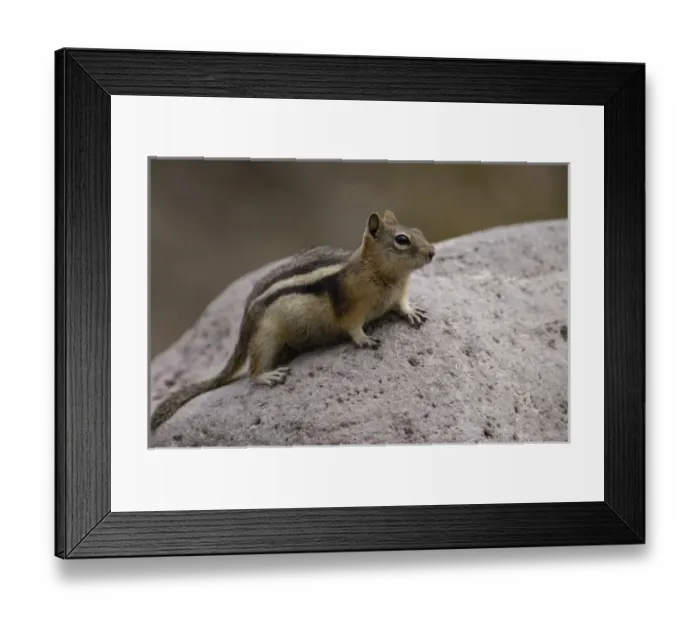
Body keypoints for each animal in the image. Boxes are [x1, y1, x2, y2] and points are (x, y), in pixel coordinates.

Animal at [149, 210, 436, 432]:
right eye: (402, 240)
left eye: (419, 230)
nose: (432, 252)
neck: (384, 275)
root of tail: (246, 319)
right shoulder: (351, 308)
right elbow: (352, 326)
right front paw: (364, 339)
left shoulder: (398, 294)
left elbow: (401, 305)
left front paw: (412, 311)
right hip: (267, 337)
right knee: (252, 371)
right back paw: (267, 376)